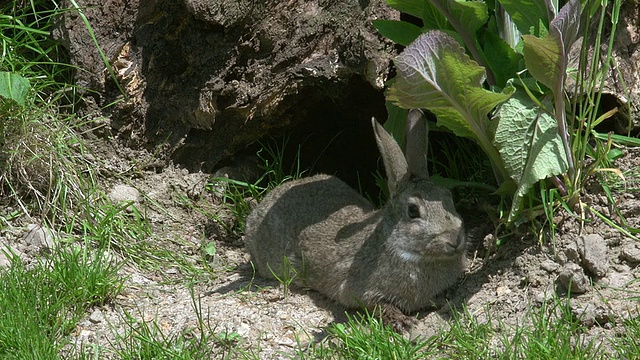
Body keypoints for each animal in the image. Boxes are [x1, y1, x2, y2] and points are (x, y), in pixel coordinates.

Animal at [244, 109, 464, 332]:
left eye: (448, 197)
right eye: (413, 211)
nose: (455, 240)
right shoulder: (361, 289)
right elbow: (378, 305)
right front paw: (403, 322)